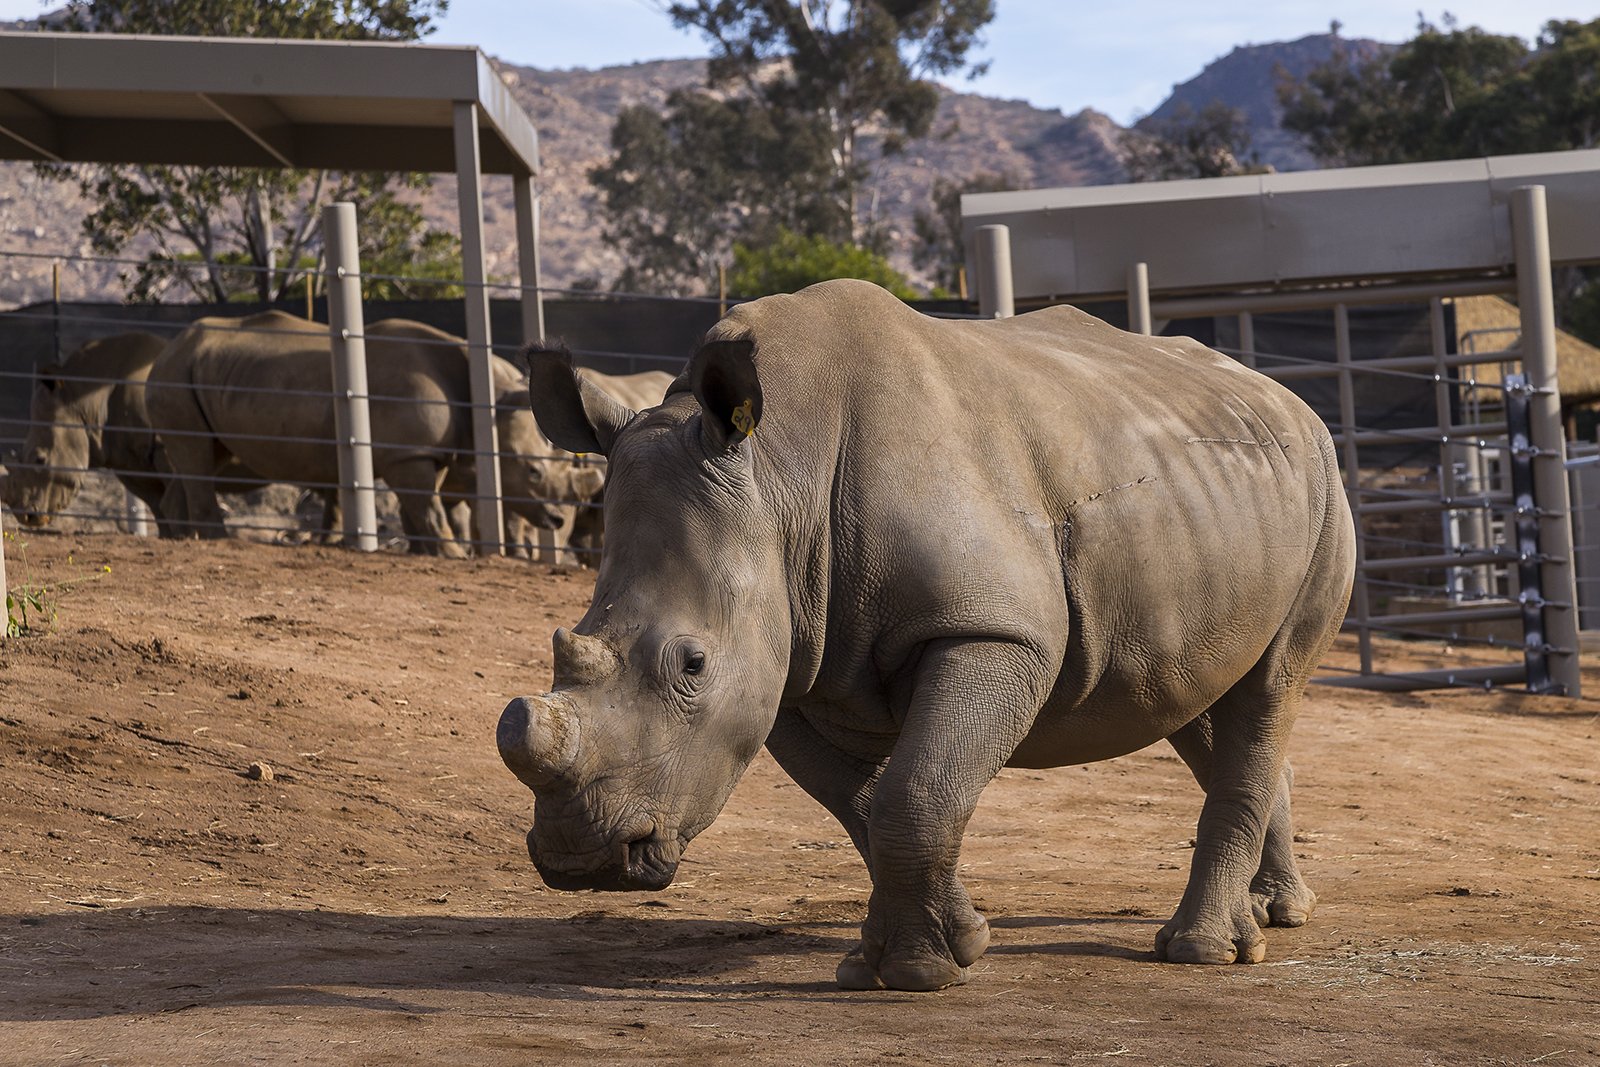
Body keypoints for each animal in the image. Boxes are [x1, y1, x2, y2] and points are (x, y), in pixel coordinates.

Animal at [144, 310, 569, 556]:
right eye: (533, 472)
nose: (558, 520)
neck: (490, 398)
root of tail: (169, 347)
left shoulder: (424, 452)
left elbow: (419, 505)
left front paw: (424, 553)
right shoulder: (409, 453)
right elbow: (428, 506)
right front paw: (453, 556)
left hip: (200, 372)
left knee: (200, 455)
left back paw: (180, 538)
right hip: (176, 375)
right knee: (196, 455)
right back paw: (217, 540)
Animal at [496, 278, 1350, 991]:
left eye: (694, 664)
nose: (580, 856)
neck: (781, 476)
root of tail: (1292, 402)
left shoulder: (991, 631)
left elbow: (914, 791)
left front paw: (918, 973)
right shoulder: (790, 668)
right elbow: (868, 807)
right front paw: (931, 947)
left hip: (1322, 492)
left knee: (1270, 685)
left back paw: (1201, 951)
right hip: (1207, 499)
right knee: (1193, 697)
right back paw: (1274, 913)